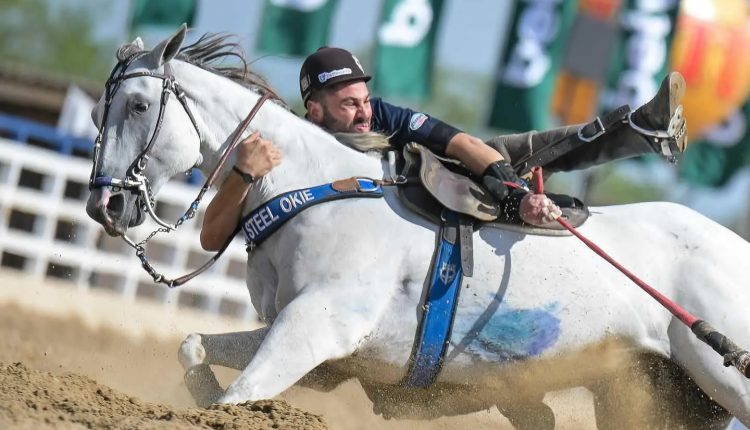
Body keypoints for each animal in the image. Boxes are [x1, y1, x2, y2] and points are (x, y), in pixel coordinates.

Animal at [85, 26, 750, 426]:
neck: (312, 186)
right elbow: (194, 345)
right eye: (97, 114)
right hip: (657, 391)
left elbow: (240, 395)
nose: (104, 207)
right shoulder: (308, 340)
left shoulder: (314, 329)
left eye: (139, 105)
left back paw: (658, 115)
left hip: (724, 373)